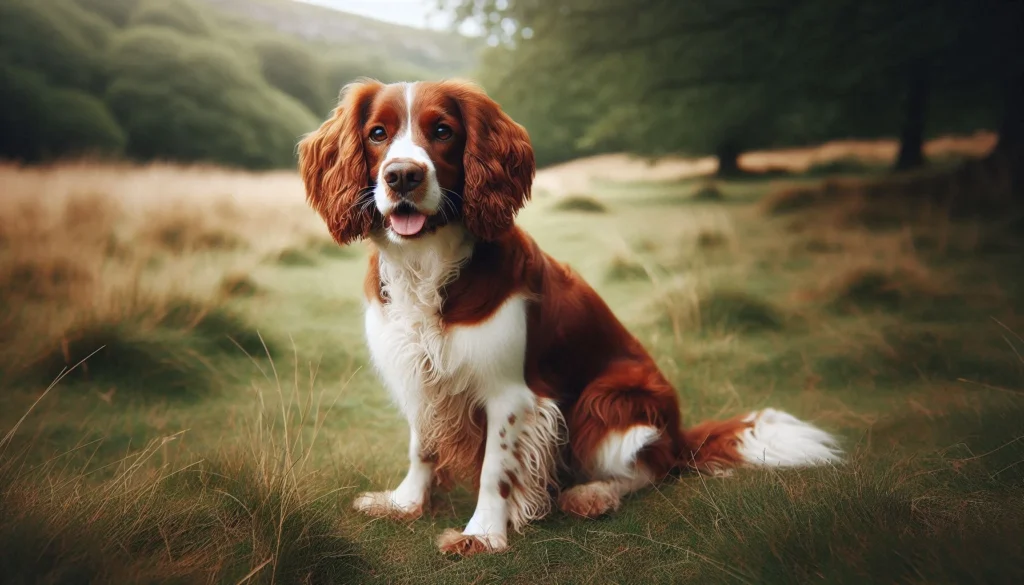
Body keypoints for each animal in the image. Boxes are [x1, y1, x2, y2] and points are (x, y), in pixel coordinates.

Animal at [296, 78, 839, 557]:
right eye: (378, 133)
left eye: (443, 130)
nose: (403, 176)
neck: (427, 265)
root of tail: (682, 431)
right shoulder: (419, 377)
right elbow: (422, 447)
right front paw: (405, 504)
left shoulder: (510, 393)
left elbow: (496, 468)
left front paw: (482, 535)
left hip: (608, 400)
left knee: (651, 467)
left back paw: (592, 494)